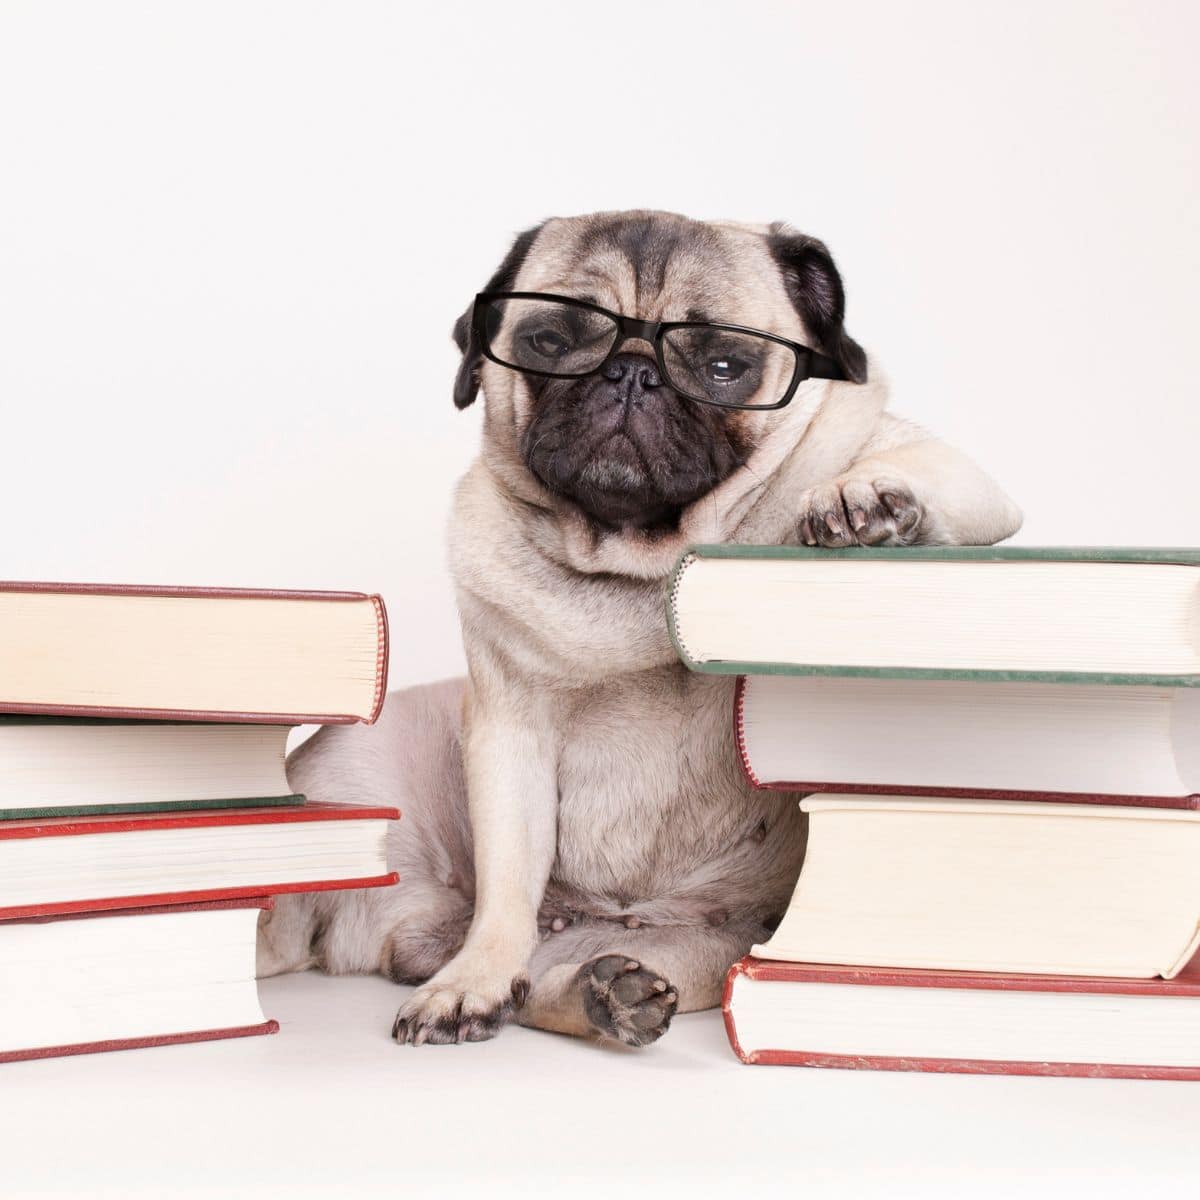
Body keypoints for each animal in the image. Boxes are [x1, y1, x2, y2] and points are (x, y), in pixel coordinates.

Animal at [255, 211, 1022, 1046]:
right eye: (548, 342)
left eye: (724, 364)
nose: (629, 373)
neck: (639, 563)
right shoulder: (509, 734)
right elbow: (507, 884)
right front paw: (472, 983)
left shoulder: (954, 478)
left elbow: (920, 474)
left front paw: (863, 498)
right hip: (351, 776)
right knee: (508, 956)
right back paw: (566, 990)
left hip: (713, 952)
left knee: (567, 984)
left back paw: (606, 992)